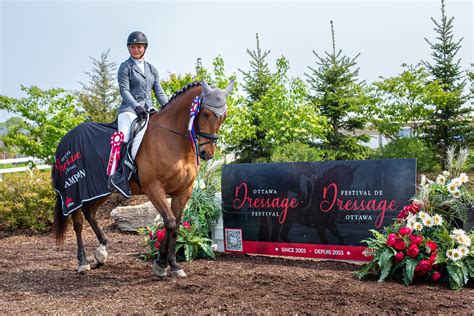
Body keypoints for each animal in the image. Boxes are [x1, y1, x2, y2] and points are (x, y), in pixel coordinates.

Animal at [53, 79, 233, 276]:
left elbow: (176, 226)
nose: (207, 153)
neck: (174, 140)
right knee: (78, 222)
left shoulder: (183, 190)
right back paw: (83, 262)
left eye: (224, 116)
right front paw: (161, 264)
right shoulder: (153, 188)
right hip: (75, 191)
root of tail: (65, 138)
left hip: (100, 190)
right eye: (206, 114)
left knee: (90, 213)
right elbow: (169, 222)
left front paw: (173, 265)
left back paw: (101, 253)